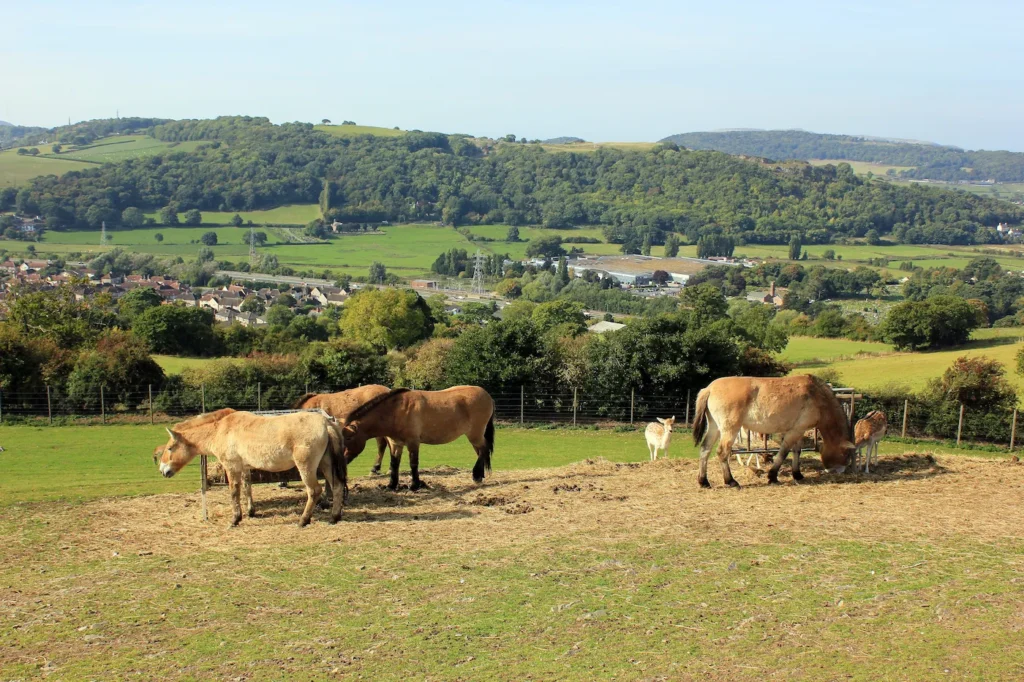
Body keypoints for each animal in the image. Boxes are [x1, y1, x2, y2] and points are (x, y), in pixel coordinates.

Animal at [156, 408, 347, 527]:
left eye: (170, 448)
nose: (163, 470)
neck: (222, 430)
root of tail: (326, 423)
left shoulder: (231, 467)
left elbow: (234, 492)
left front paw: (235, 520)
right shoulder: (244, 467)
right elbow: (247, 488)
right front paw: (249, 511)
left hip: (306, 467)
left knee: (314, 491)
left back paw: (303, 521)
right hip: (326, 464)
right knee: (337, 486)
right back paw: (334, 517)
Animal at [342, 386, 495, 491]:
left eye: (348, 439)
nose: (342, 460)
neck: (396, 410)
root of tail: (487, 395)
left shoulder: (413, 442)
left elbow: (413, 463)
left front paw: (415, 485)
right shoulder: (396, 444)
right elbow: (394, 464)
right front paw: (391, 485)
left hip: (475, 435)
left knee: (484, 449)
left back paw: (476, 475)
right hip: (474, 436)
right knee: (481, 452)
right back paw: (480, 476)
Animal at [692, 375, 855, 488]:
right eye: (846, 454)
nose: (840, 471)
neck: (816, 394)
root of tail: (709, 388)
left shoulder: (798, 430)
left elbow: (797, 451)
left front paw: (797, 474)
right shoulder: (795, 431)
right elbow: (783, 453)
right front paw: (773, 476)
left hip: (714, 427)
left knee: (705, 449)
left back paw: (703, 481)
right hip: (729, 429)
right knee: (722, 452)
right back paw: (730, 481)